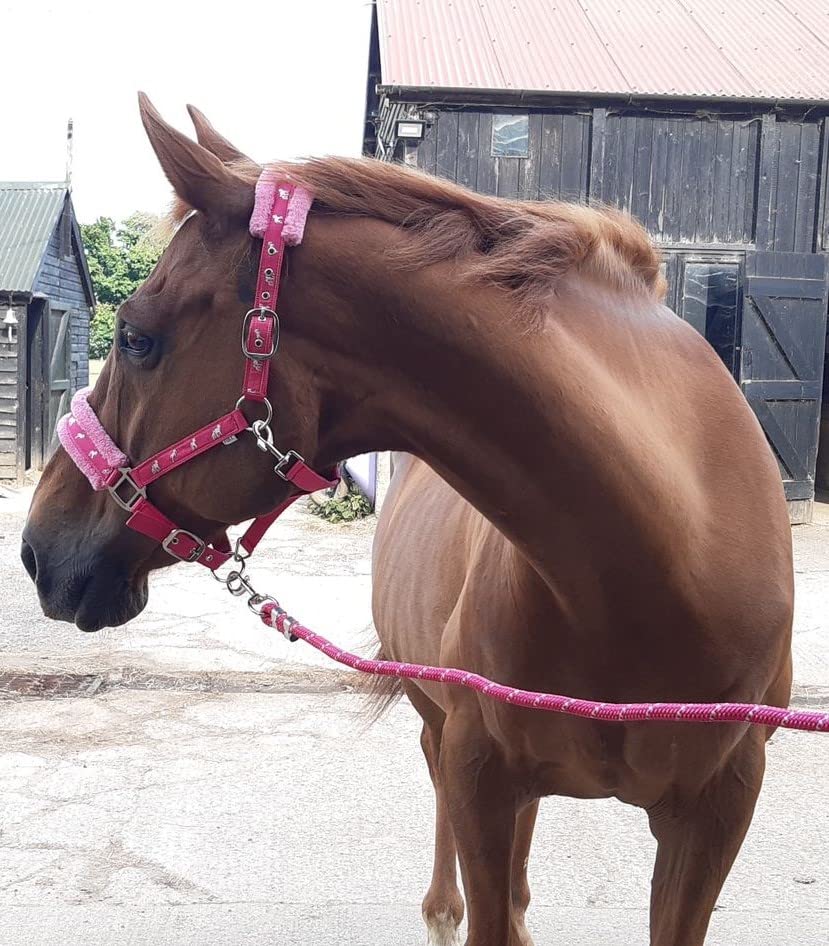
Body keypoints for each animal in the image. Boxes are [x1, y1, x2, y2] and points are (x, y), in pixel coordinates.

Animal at [22, 97, 792, 944]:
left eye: (135, 336)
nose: (36, 549)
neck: (654, 571)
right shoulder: (477, 771)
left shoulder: (718, 812)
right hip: (439, 723)